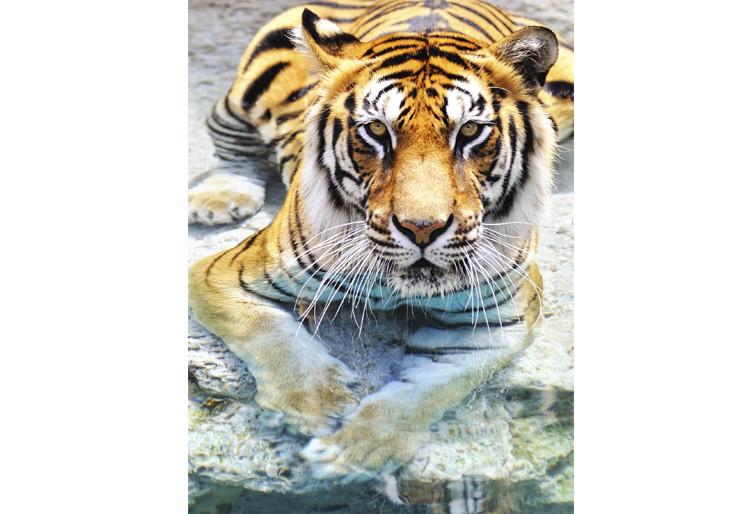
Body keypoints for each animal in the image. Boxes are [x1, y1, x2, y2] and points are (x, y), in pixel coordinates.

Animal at [188, 0, 574, 478]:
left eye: (469, 132)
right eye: (376, 131)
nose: (422, 227)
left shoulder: (498, 325)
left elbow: (424, 392)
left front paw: (352, 450)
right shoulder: (220, 274)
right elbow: (269, 332)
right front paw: (317, 405)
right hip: (245, 91)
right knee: (229, 143)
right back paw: (219, 197)